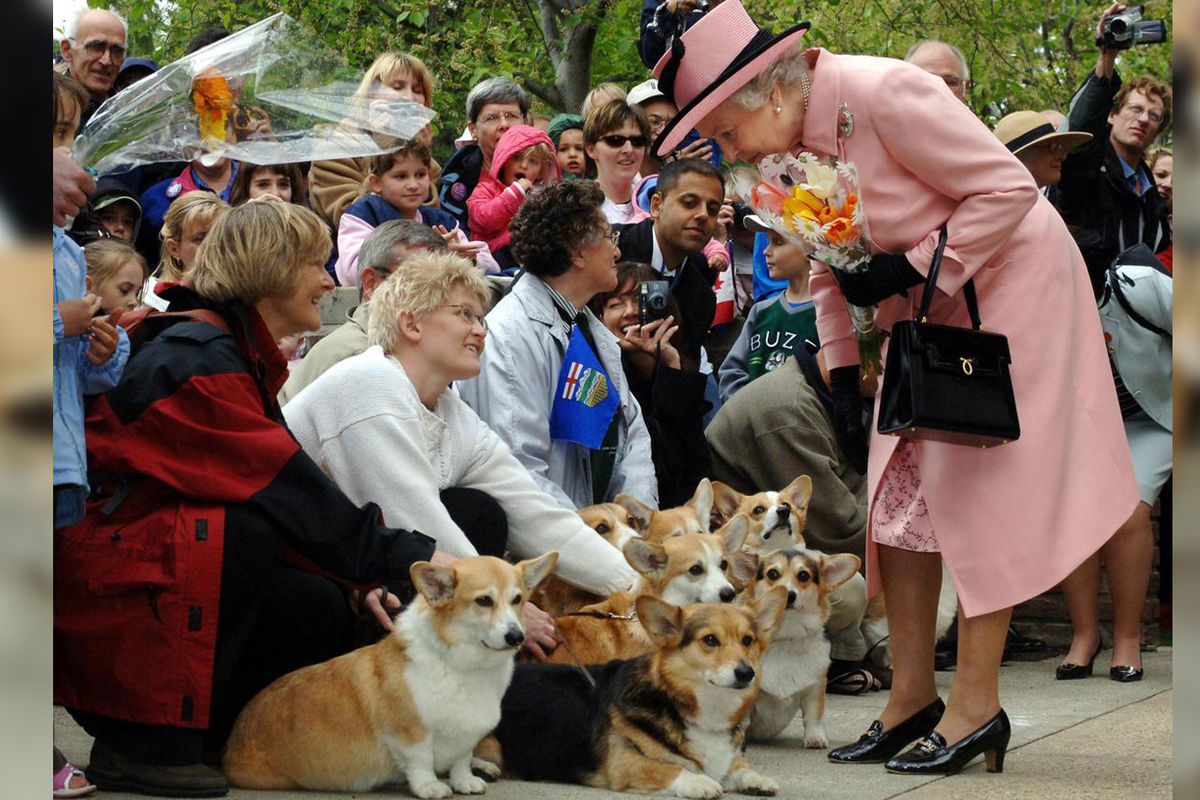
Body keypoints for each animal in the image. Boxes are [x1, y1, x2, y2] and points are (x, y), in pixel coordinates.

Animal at [224, 554, 556, 796]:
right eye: (483, 601)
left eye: (517, 599)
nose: (516, 637)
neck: (463, 666)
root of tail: (232, 741)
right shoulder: (408, 731)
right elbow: (420, 759)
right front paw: (430, 787)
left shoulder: (467, 732)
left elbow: (462, 757)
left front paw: (465, 780)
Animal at [472, 592, 792, 796]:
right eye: (710, 640)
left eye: (747, 640)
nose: (746, 672)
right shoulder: (623, 763)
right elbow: (669, 769)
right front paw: (700, 783)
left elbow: (739, 766)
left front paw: (757, 779)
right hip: (491, 742)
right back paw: (482, 768)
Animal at [744, 551, 859, 743]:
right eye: (772, 574)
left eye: (803, 575)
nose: (789, 595)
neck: (786, 636)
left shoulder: (815, 687)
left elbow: (814, 715)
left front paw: (815, 738)